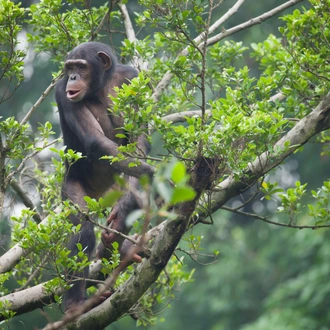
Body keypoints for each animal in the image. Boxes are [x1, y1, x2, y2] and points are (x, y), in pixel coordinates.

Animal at [55, 42, 153, 312]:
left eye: (80, 67)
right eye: (69, 68)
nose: (73, 77)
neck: (102, 83)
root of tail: (100, 195)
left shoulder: (134, 78)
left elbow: (138, 139)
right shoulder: (61, 91)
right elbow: (95, 140)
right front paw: (152, 174)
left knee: (128, 200)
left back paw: (115, 243)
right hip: (72, 186)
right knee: (84, 229)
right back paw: (75, 304)